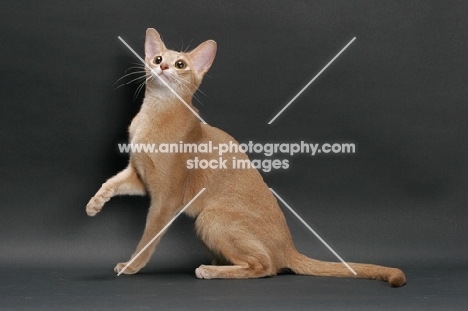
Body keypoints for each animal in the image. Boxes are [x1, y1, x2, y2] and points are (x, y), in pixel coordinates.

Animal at [87, 28, 406, 288]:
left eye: (180, 65)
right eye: (157, 59)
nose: (163, 66)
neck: (154, 115)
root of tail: (289, 247)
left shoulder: (167, 197)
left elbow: (148, 236)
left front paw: (131, 265)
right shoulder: (140, 176)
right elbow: (111, 183)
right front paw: (95, 204)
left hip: (211, 216)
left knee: (266, 267)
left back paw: (211, 271)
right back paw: (218, 263)